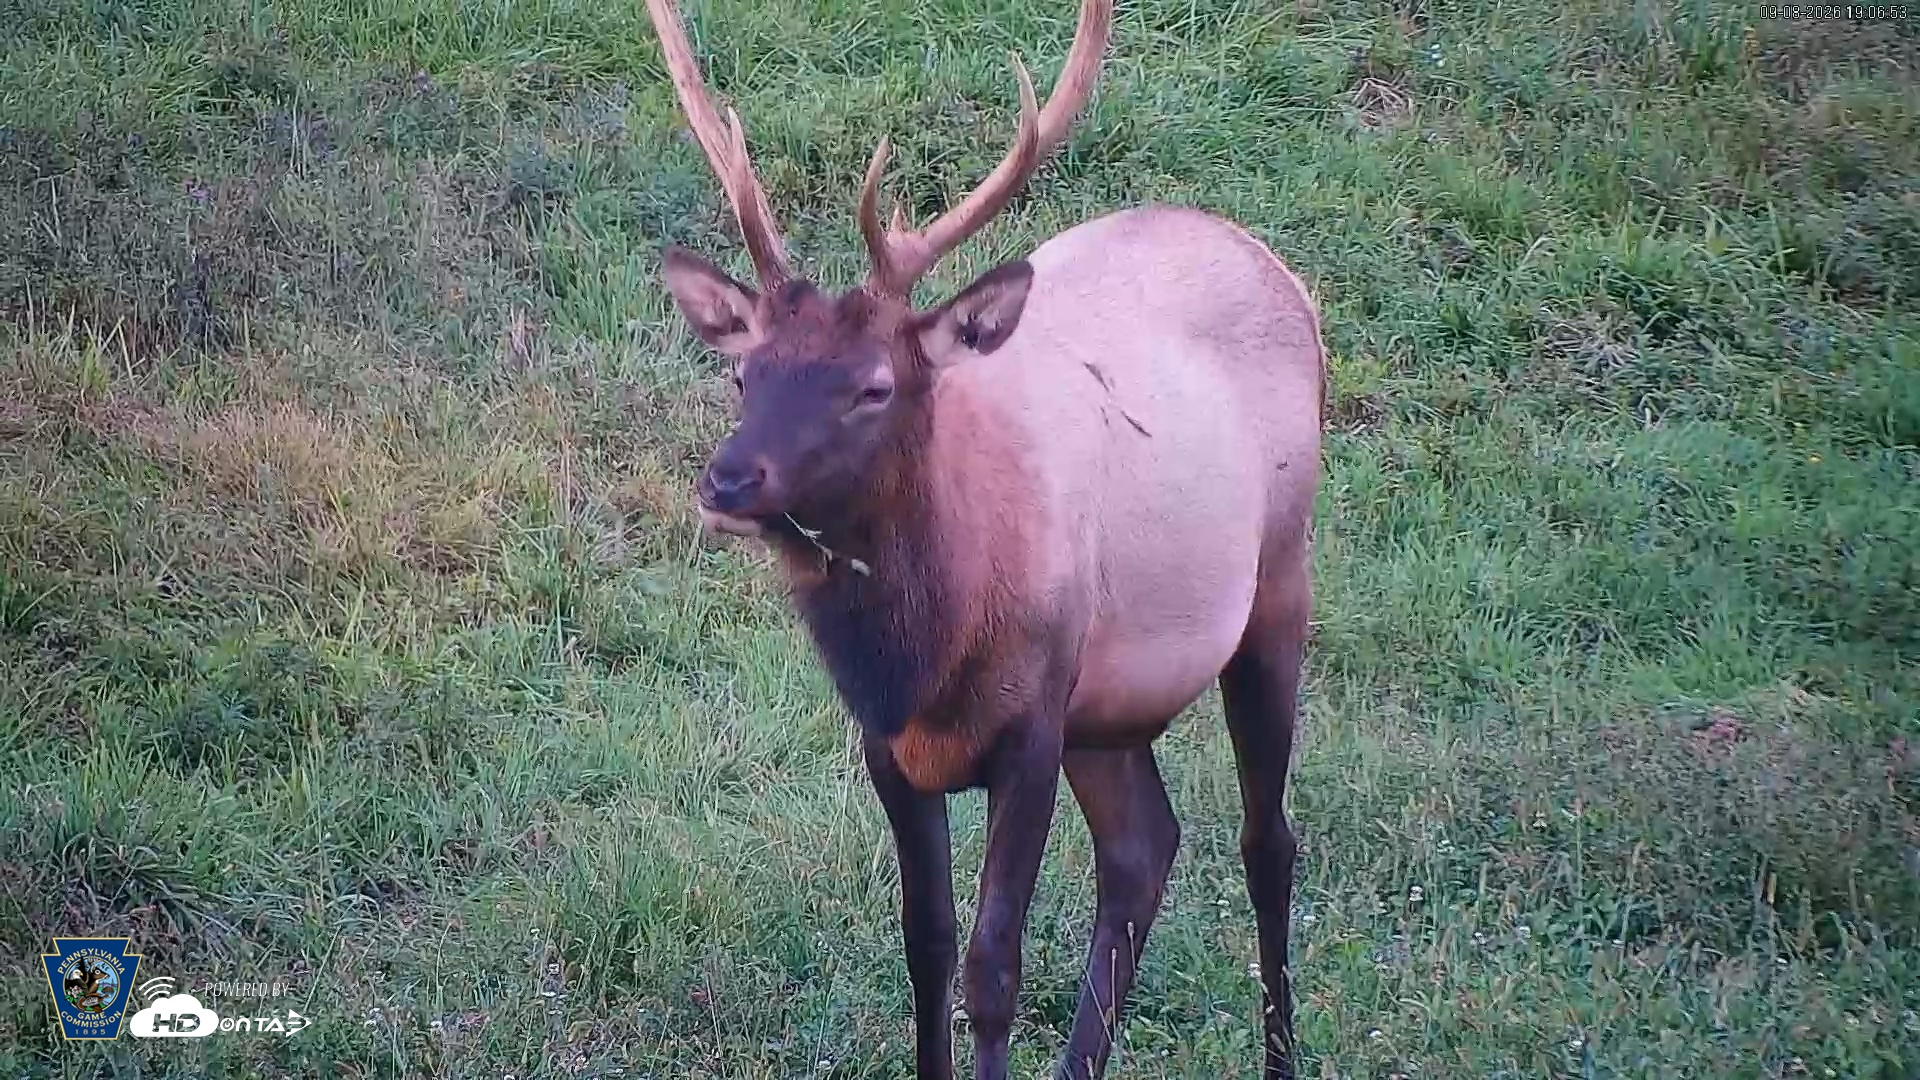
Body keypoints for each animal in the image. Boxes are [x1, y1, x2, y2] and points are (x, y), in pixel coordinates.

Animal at [642, 0, 1323, 1076]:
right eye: (744, 373)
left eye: (874, 386)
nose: (727, 480)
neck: (924, 654)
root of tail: (1284, 274)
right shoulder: (891, 745)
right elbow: (925, 950)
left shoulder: (1031, 725)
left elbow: (992, 966)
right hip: (1111, 706)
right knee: (1145, 848)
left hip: (1276, 585)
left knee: (1268, 843)